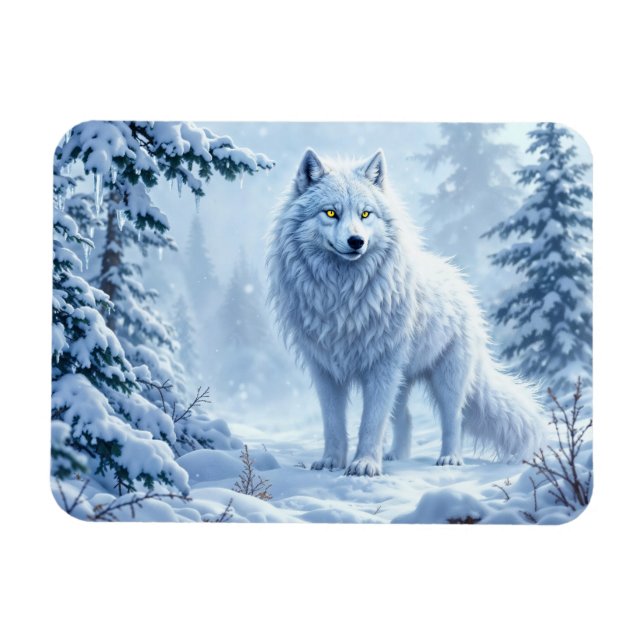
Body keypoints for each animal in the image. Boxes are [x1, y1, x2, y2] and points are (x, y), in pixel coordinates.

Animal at [266, 148, 544, 476]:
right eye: (331, 213)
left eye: (365, 214)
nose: (356, 241)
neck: (342, 294)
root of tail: (461, 282)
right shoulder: (325, 369)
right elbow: (334, 423)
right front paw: (332, 462)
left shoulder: (381, 367)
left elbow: (371, 422)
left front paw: (364, 465)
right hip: (402, 379)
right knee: (406, 418)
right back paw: (397, 457)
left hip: (446, 378)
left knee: (455, 419)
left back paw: (450, 459)